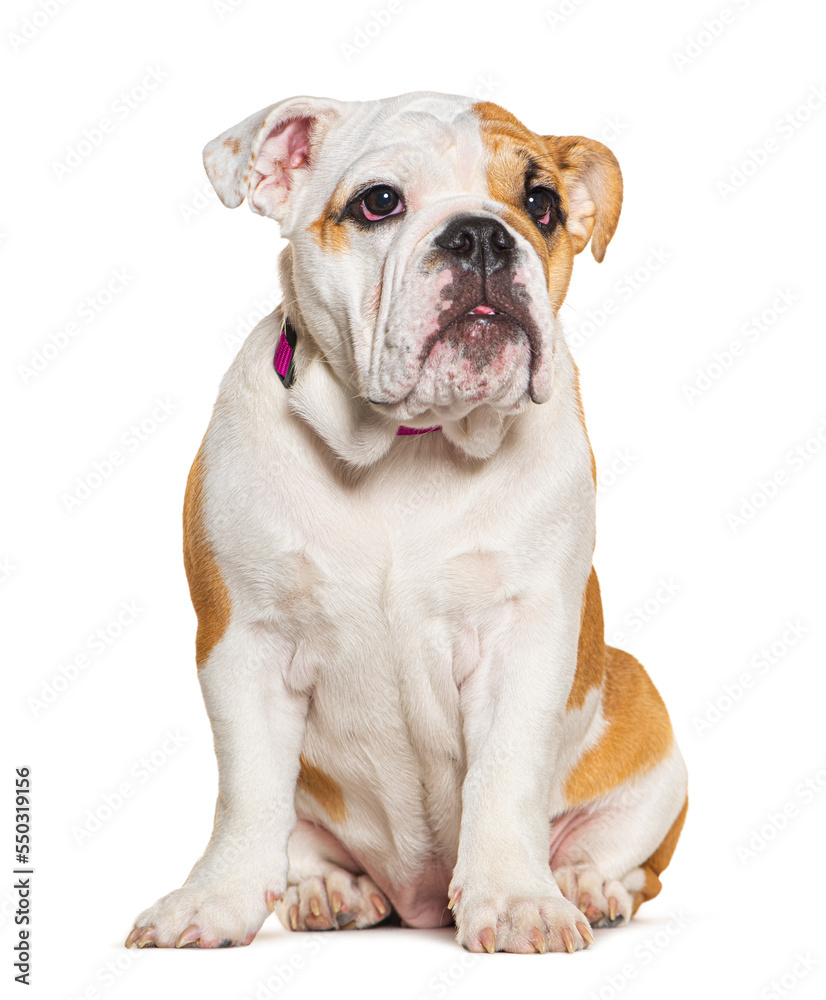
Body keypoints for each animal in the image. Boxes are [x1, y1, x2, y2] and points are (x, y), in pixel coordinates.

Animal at [125, 92, 684, 952]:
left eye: (543, 205)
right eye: (379, 201)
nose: (483, 233)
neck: (407, 443)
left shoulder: (525, 640)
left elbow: (506, 775)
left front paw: (516, 899)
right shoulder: (243, 642)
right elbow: (247, 791)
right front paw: (214, 901)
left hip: (648, 722)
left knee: (630, 859)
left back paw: (585, 884)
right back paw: (330, 888)